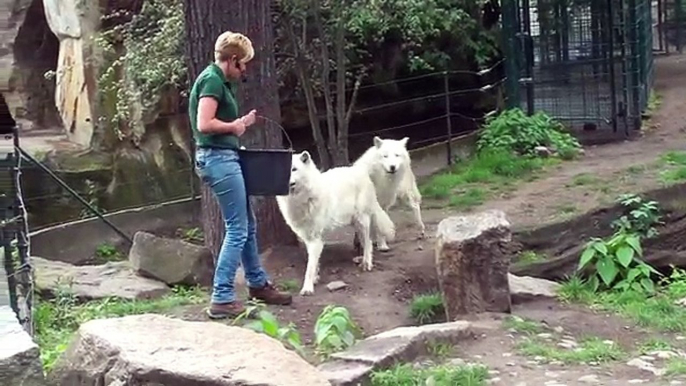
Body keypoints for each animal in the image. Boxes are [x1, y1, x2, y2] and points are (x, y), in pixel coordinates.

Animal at [272, 151, 392, 296]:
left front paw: (307, 288)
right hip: (355, 223)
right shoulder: (308, 238)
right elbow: (314, 263)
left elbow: (309, 268)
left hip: (362, 220)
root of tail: (359, 171)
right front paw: (315, 278)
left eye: (294, 169)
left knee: (368, 242)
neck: (303, 199)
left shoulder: (316, 240)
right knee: (364, 241)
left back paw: (367, 263)